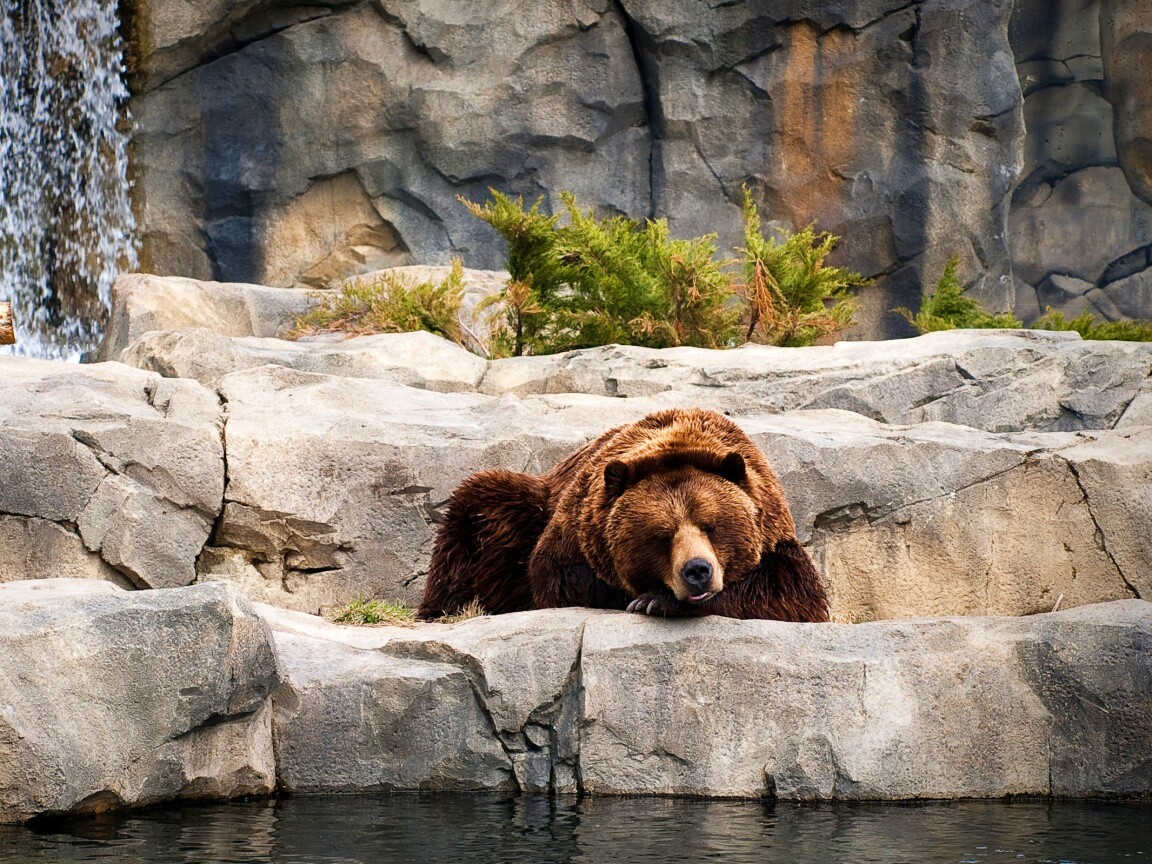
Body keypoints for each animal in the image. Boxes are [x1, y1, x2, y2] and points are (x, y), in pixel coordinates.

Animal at [418, 407, 829, 622]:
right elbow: (561, 580)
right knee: (478, 510)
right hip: (524, 508)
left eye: (711, 526)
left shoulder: (774, 532)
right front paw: (647, 598)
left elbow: (792, 594)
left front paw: (656, 600)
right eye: (662, 535)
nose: (697, 570)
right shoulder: (575, 530)